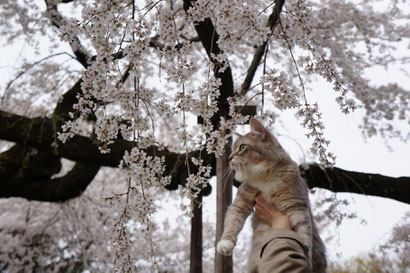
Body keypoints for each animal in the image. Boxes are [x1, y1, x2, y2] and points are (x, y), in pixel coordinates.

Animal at [215, 118, 326, 272]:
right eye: (231, 150)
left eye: (242, 147)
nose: (230, 158)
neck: (264, 176)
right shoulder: (241, 202)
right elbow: (232, 222)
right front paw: (225, 244)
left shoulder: (297, 205)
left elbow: (304, 235)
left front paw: (306, 259)